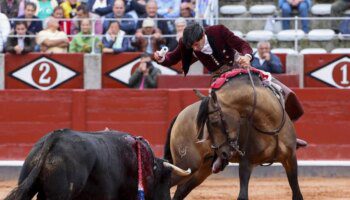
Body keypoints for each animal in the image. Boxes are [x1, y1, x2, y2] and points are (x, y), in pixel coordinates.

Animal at [164, 72, 304, 200]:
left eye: (214, 122)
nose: (223, 153)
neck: (271, 125)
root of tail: (179, 115)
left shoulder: (290, 159)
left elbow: (297, 194)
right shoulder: (246, 162)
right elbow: (242, 195)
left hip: (202, 169)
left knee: (180, 190)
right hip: (187, 164)